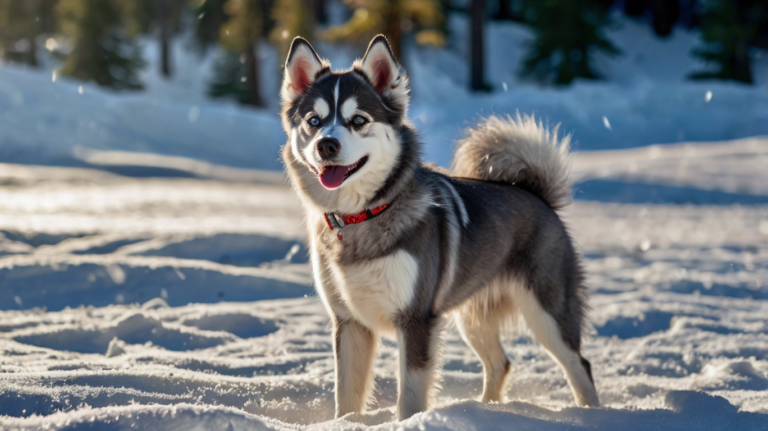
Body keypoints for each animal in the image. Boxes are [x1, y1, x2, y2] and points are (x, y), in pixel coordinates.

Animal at [280, 35, 600, 420]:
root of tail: (536, 195)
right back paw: (485, 411)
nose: (326, 144)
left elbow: (410, 396)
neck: (361, 216)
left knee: (579, 364)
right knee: (500, 364)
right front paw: (346, 424)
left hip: (547, 311)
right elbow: (347, 396)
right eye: (314, 120)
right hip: (472, 316)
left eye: (358, 120)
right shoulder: (349, 321)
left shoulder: (416, 319)